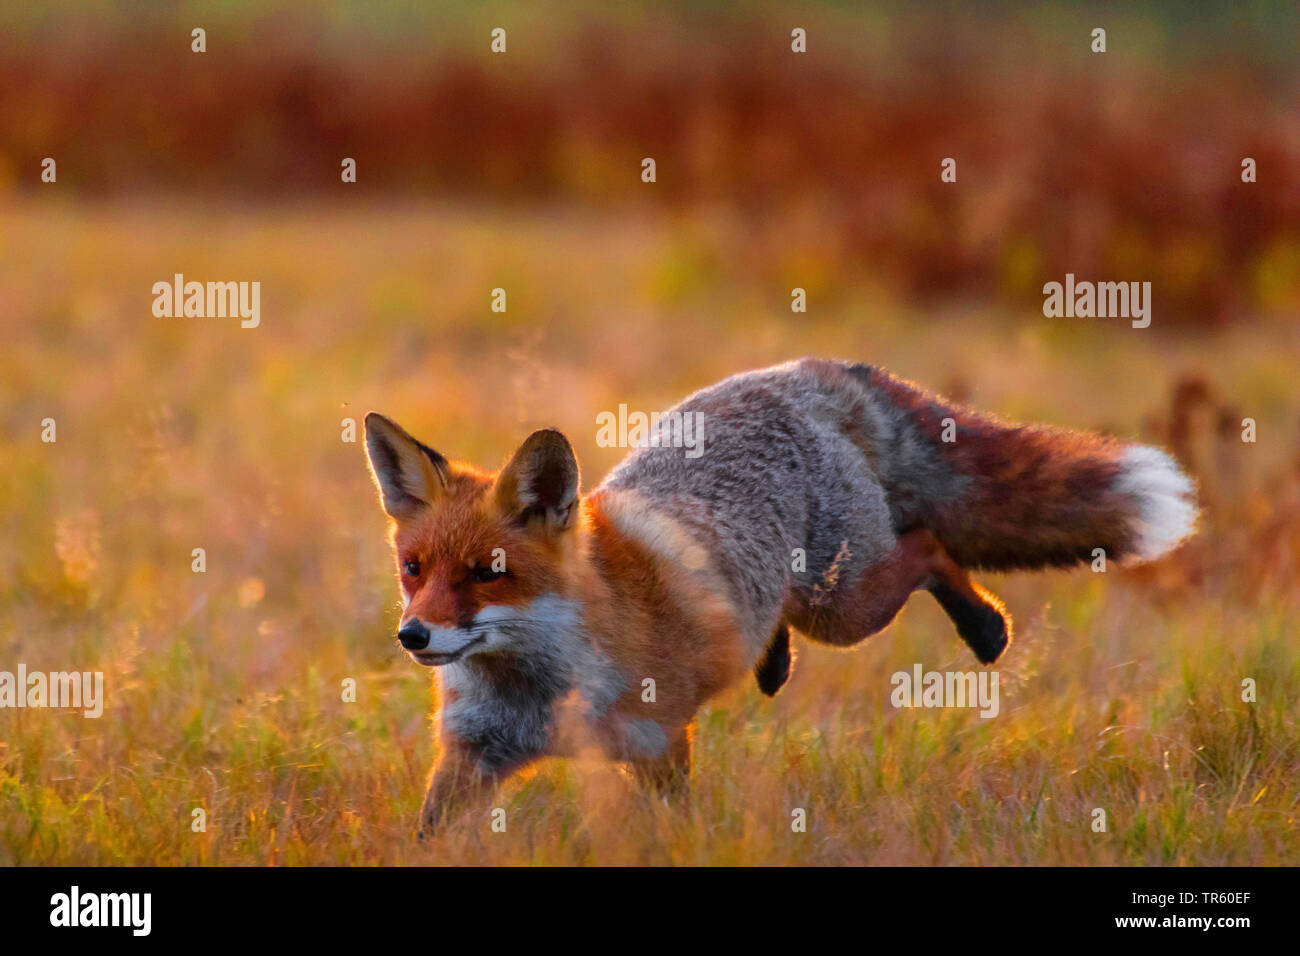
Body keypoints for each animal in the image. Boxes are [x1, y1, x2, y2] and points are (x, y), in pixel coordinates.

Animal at [364, 358, 1198, 834]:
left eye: (488, 572)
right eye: (414, 569)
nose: (413, 637)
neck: (543, 684)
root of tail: (803, 369)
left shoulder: (660, 744)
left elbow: (676, 832)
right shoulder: (472, 753)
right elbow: (429, 836)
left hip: (846, 602)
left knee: (928, 545)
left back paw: (985, 628)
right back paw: (771, 663)